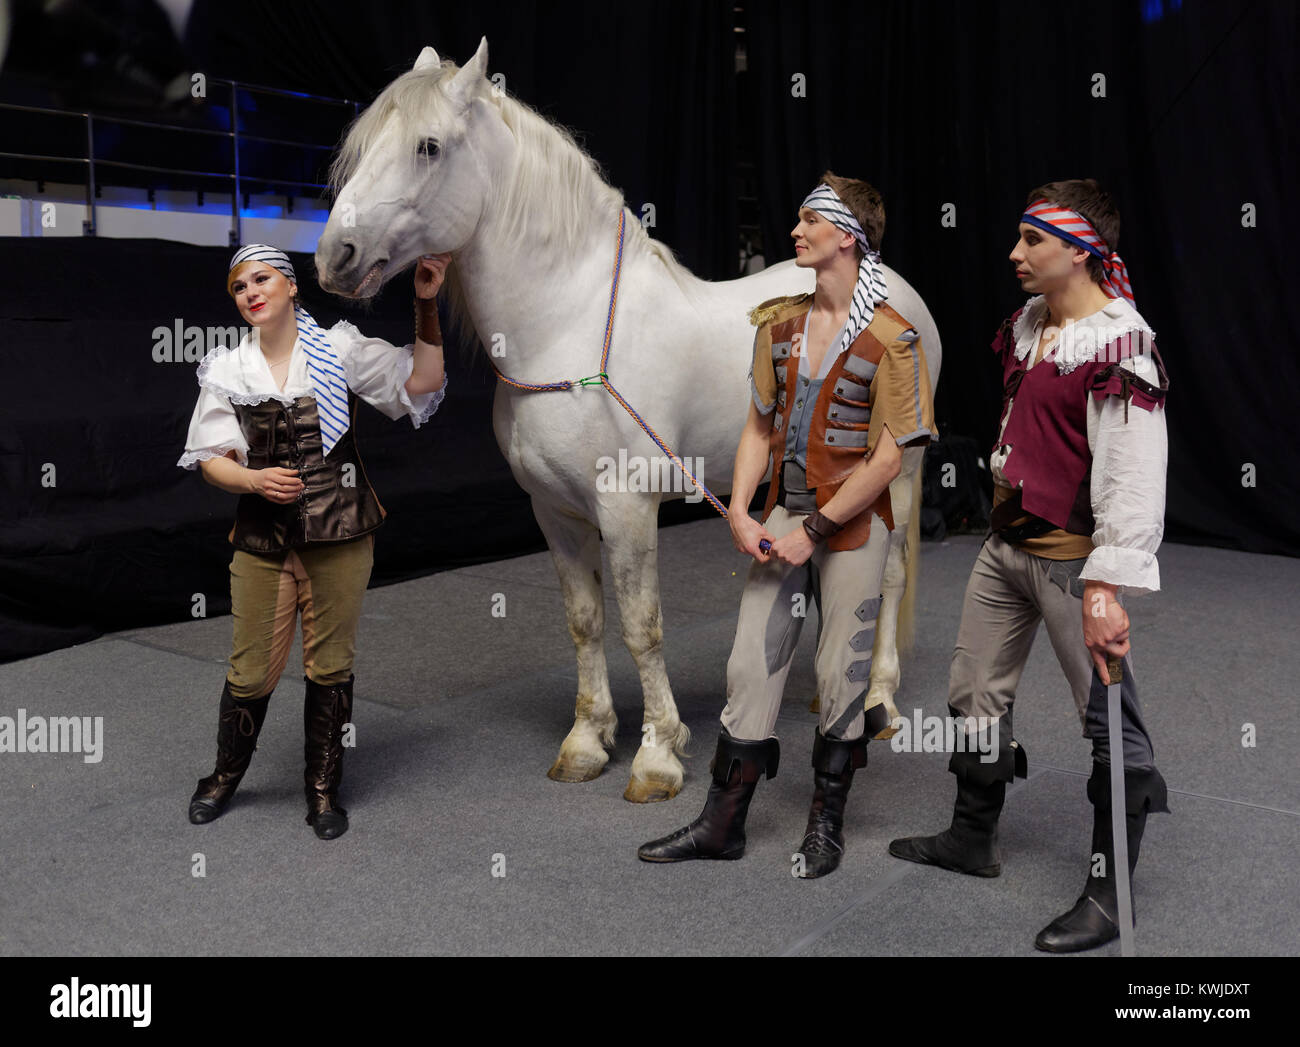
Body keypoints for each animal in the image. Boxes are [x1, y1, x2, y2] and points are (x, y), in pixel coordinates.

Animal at [318, 36, 941, 795]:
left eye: (428, 146)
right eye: (363, 144)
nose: (335, 256)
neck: (569, 324)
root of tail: (895, 286)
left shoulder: (627, 507)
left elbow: (642, 627)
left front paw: (656, 755)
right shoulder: (555, 512)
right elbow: (585, 622)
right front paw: (588, 741)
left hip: (896, 478)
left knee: (888, 579)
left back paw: (878, 701)